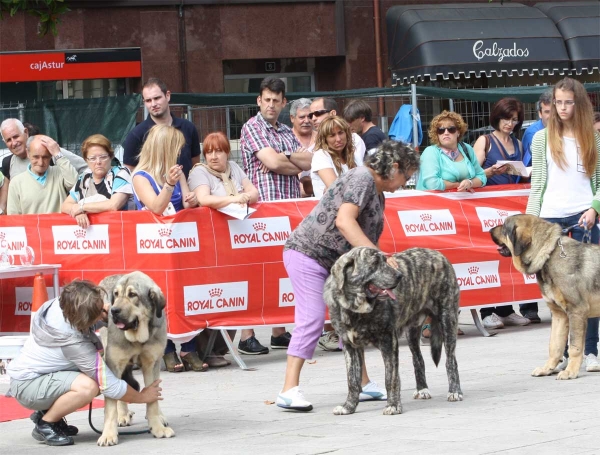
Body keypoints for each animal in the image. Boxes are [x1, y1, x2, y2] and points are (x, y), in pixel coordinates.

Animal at [96, 272, 175, 448]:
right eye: (116, 294)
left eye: (133, 295)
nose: (113, 310)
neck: (138, 338)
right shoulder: (114, 364)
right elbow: (111, 406)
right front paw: (108, 434)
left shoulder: (152, 363)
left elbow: (152, 400)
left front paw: (157, 427)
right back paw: (123, 415)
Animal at [326, 248, 462, 416]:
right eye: (374, 263)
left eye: (385, 260)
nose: (399, 276)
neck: (356, 309)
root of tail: (437, 254)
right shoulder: (350, 346)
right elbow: (352, 380)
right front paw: (348, 406)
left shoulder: (388, 342)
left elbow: (391, 378)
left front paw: (393, 405)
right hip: (412, 331)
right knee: (418, 359)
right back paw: (422, 389)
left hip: (448, 320)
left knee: (451, 360)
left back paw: (455, 391)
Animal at [492, 216, 600, 380]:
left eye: (504, 228)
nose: (489, 230)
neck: (549, 255)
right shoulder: (559, 315)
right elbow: (554, 346)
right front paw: (547, 369)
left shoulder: (576, 311)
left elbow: (575, 347)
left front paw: (570, 371)